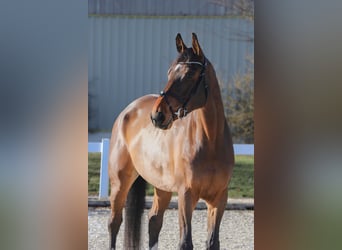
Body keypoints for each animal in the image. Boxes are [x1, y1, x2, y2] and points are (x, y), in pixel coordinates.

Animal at [108, 33, 234, 250]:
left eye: (189, 75)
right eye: (169, 73)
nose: (157, 116)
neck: (211, 142)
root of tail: (128, 110)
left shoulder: (219, 198)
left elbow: (212, 242)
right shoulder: (186, 195)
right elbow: (185, 242)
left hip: (162, 187)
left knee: (154, 221)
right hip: (119, 182)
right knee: (114, 223)